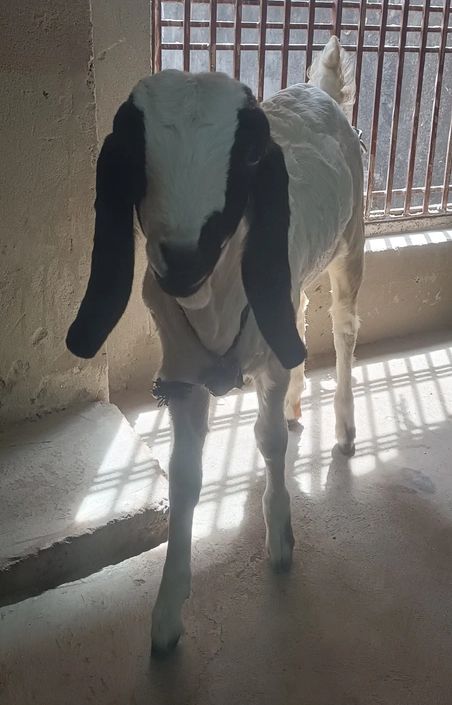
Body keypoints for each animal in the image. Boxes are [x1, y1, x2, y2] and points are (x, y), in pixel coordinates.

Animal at [67, 36, 364, 656]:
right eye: (135, 151)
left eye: (248, 157)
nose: (182, 260)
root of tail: (319, 89)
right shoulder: (181, 375)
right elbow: (185, 477)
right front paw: (166, 617)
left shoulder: (267, 358)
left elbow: (268, 441)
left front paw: (281, 541)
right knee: (301, 320)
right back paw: (301, 407)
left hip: (353, 242)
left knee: (345, 326)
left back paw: (345, 432)